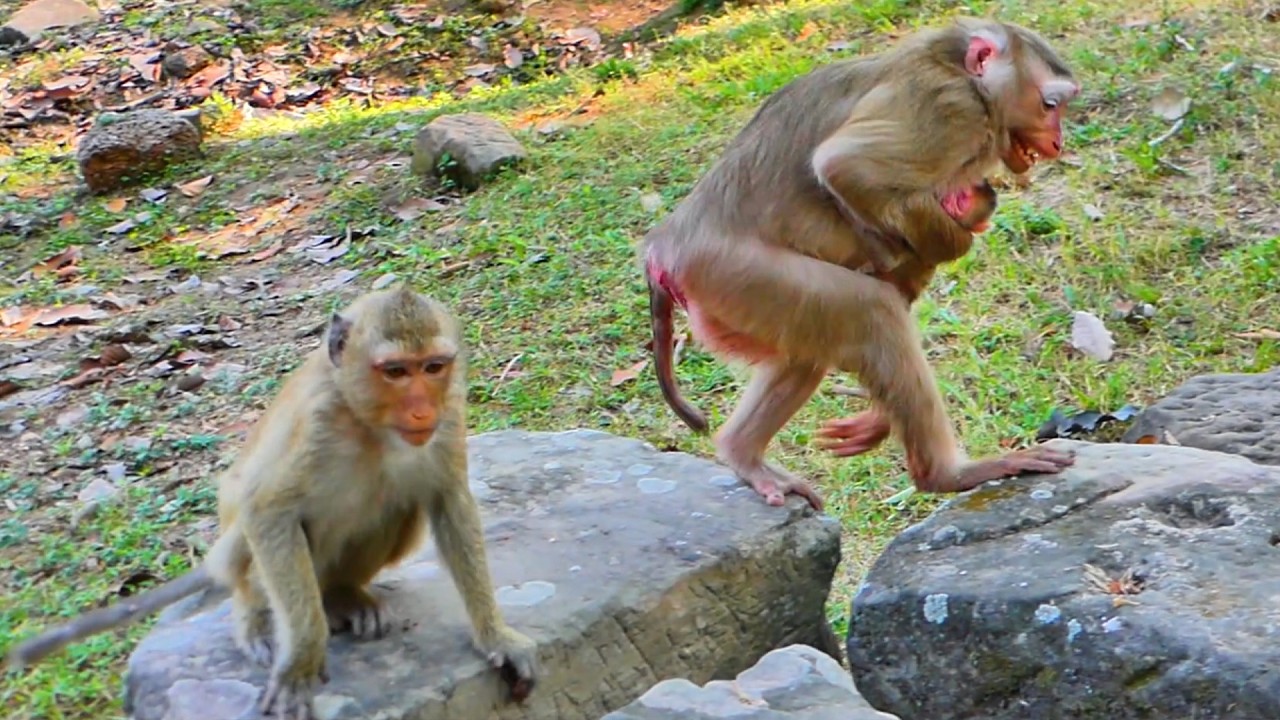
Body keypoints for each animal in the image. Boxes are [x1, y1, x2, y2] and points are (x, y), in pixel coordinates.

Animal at [4, 287, 539, 719]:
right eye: (394, 372)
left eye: (432, 367)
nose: (423, 410)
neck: (368, 423)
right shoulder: (318, 421)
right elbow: (268, 508)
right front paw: (300, 661)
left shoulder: (450, 414)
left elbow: (448, 500)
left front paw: (496, 635)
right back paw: (258, 616)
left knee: (399, 506)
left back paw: (344, 595)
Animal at [643, 18, 1080, 511]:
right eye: (1049, 104)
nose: (1059, 140)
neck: (957, 69)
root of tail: (663, 248)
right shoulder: (950, 109)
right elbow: (846, 168)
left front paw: (877, 417)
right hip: (732, 273)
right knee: (871, 310)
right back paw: (948, 475)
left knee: (810, 349)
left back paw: (743, 453)